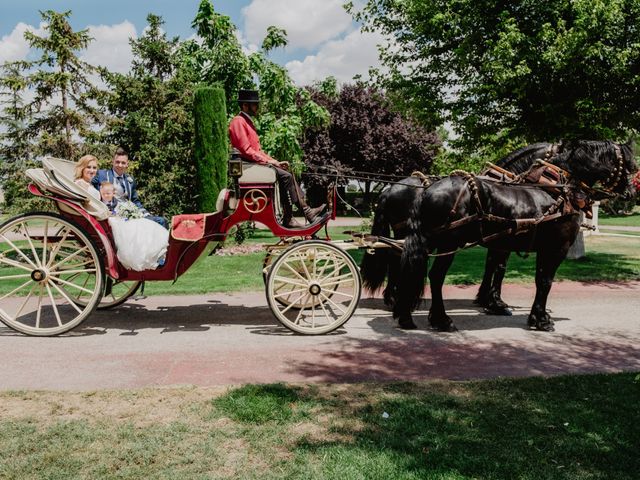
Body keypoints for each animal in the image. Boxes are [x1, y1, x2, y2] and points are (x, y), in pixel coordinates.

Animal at [392, 141, 636, 332]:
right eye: (628, 164)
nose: (632, 192)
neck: (557, 189)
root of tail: (427, 189)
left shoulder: (528, 246)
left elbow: (527, 276)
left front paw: (526, 313)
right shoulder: (556, 247)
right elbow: (544, 281)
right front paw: (541, 319)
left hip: (428, 241)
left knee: (411, 267)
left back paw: (406, 314)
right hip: (449, 242)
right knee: (435, 276)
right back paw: (441, 319)